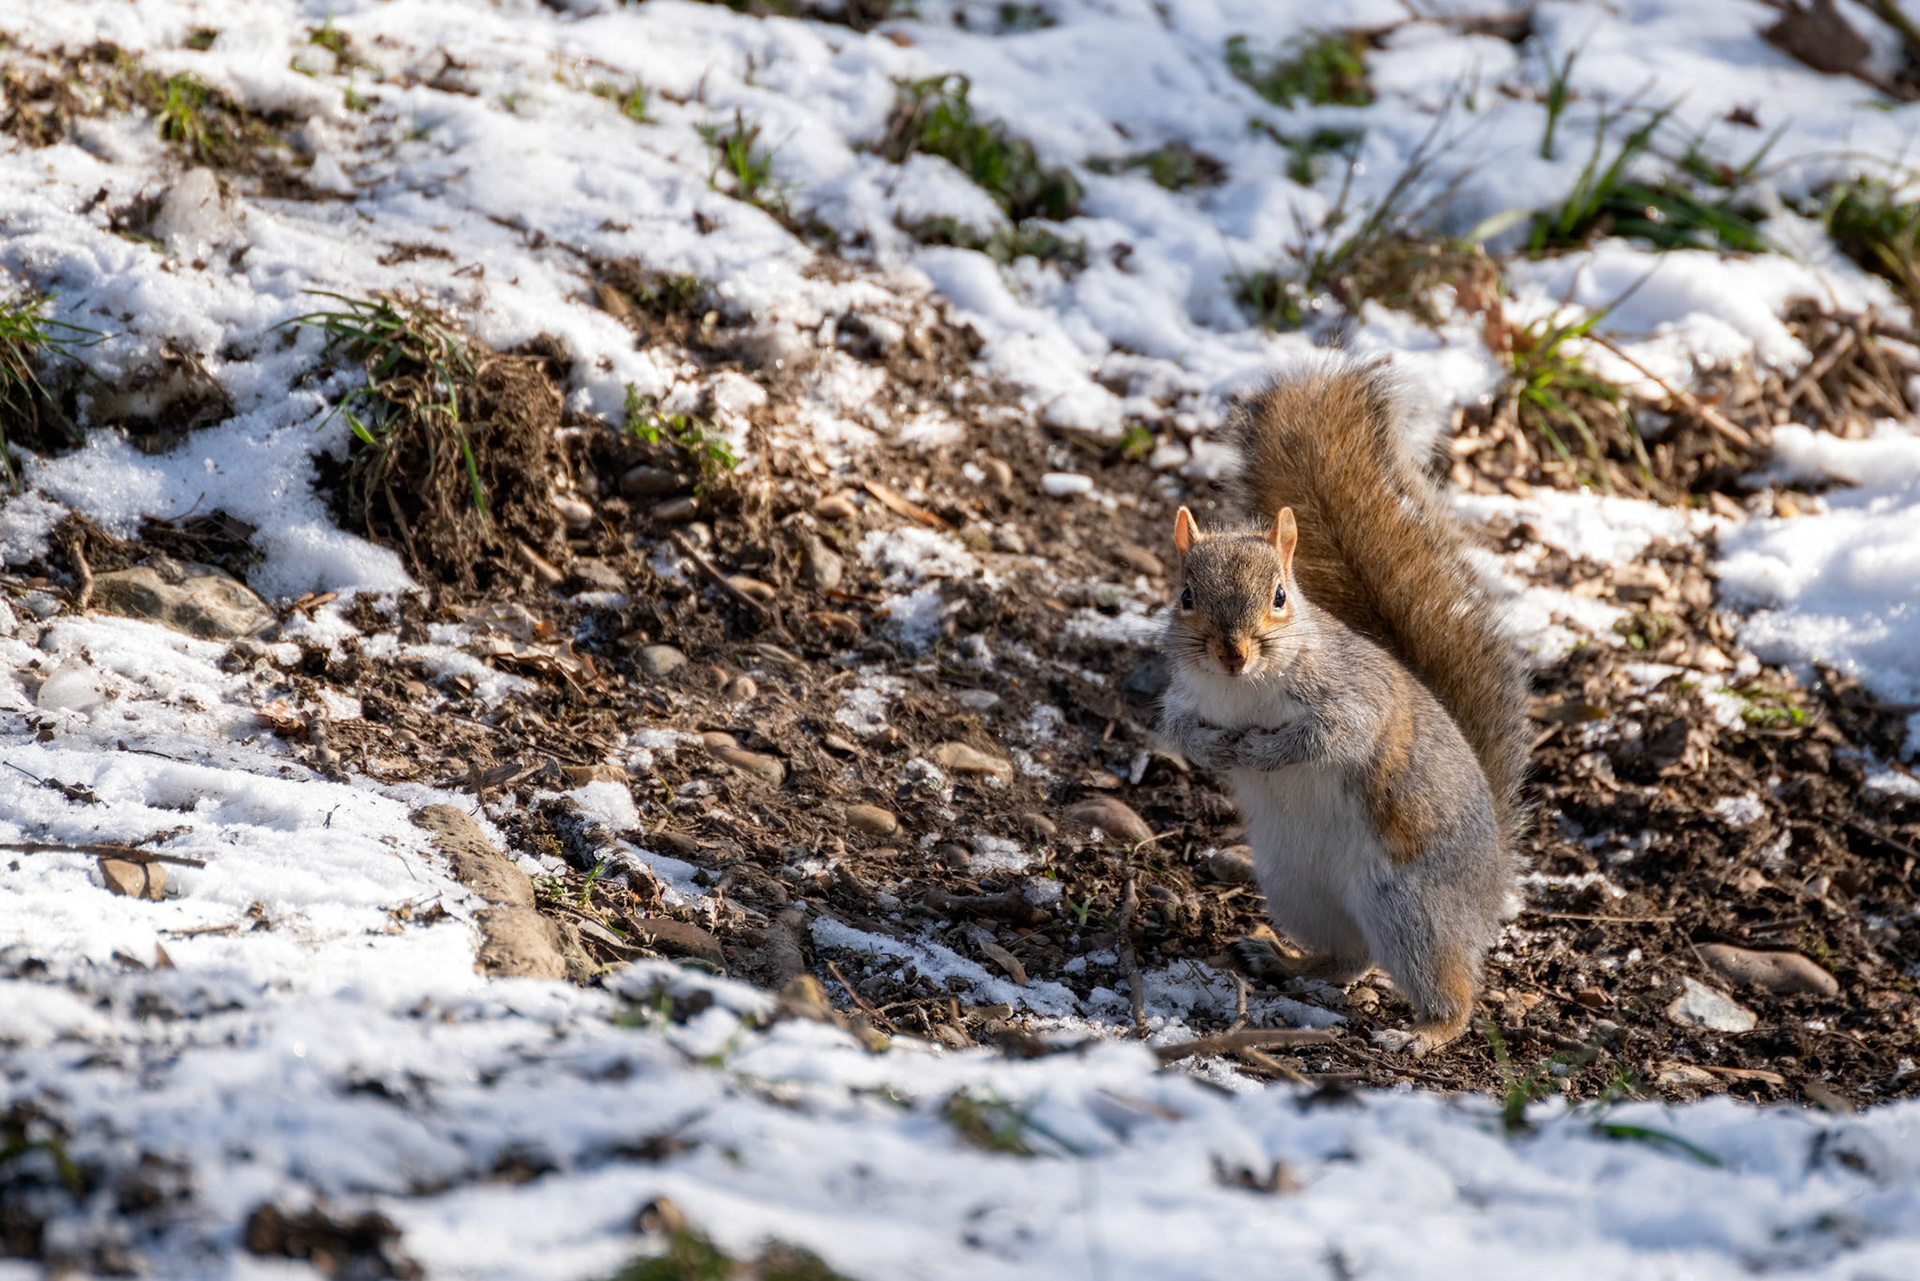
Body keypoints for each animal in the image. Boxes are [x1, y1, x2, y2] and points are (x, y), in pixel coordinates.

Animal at [1156, 356, 1530, 1055]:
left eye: (1280, 595)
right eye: (1186, 596)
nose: (1232, 653)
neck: (1242, 689)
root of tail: (1492, 882)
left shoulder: (1352, 696)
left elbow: (1334, 735)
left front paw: (1264, 751)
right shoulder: (1183, 695)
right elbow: (1177, 731)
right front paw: (1217, 746)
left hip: (1410, 908)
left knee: (1449, 988)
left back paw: (1425, 1033)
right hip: (1297, 887)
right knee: (1347, 958)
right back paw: (1281, 960)